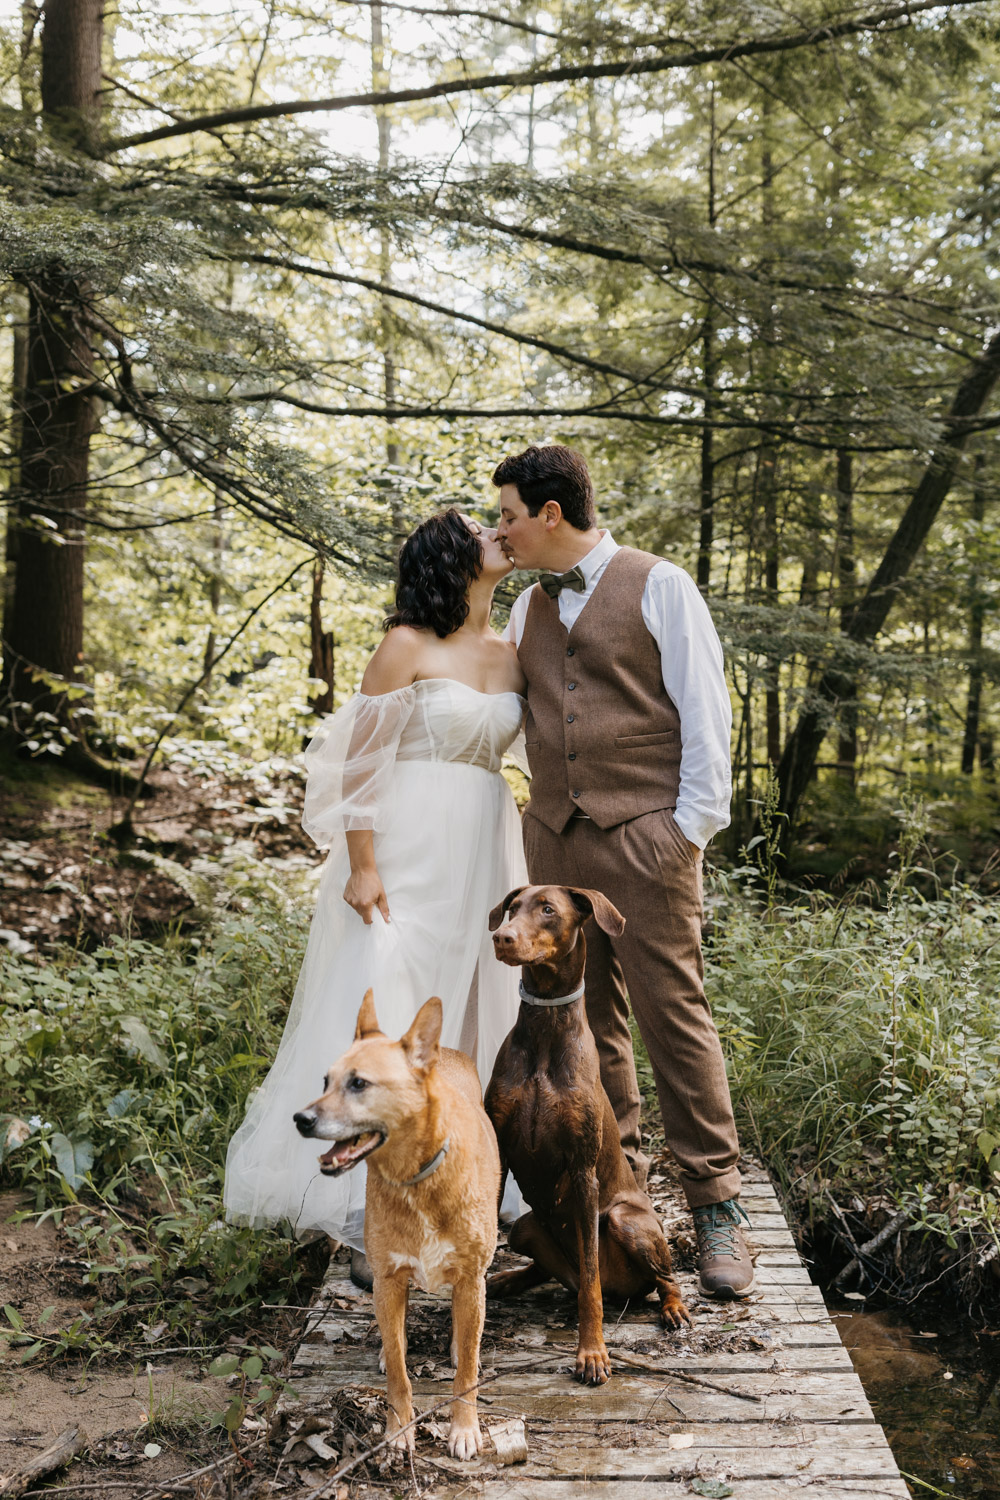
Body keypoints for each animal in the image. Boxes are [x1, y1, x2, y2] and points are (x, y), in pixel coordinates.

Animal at [482, 882, 689, 1386]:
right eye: (512, 909)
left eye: (548, 910)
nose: (501, 938)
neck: (544, 1031)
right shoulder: (498, 1154)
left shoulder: (582, 1171)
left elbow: (590, 1286)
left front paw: (592, 1352)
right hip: (526, 1227)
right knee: (549, 1269)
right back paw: (510, 1279)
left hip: (628, 1222)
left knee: (659, 1279)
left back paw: (673, 1308)